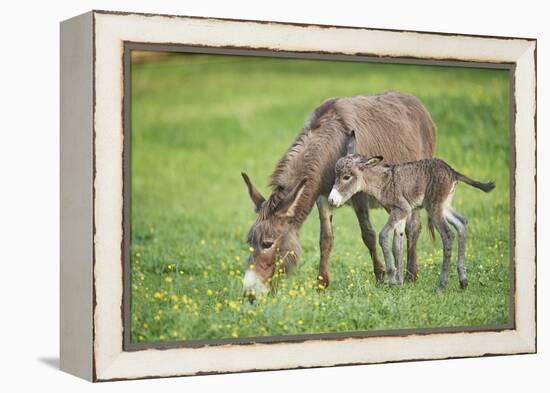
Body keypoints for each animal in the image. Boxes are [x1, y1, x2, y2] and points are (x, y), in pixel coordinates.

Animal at [328, 135, 496, 290]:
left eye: (346, 177)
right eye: (336, 176)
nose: (331, 200)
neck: (384, 182)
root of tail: (452, 171)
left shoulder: (401, 209)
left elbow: (383, 236)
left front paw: (391, 278)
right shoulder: (402, 214)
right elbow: (397, 244)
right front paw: (399, 281)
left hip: (434, 207)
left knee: (448, 235)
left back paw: (441, 286)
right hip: (444, 206)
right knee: (461, 223)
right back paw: (463, 281)